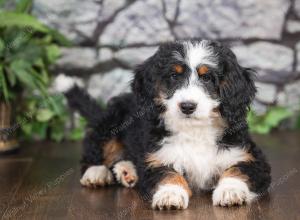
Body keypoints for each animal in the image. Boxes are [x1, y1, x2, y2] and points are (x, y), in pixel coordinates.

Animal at [61, 39, 272, 210]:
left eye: (207, 78)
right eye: (173, 76)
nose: (187, 106)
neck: (194, 130)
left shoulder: (249, 156)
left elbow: (238, 169)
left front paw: (230, 191)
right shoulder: (157, 157)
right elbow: (167, 173)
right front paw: (170, 194)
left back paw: (127, 171)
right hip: (112, 121)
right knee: (95, 147)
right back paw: (96, 172)